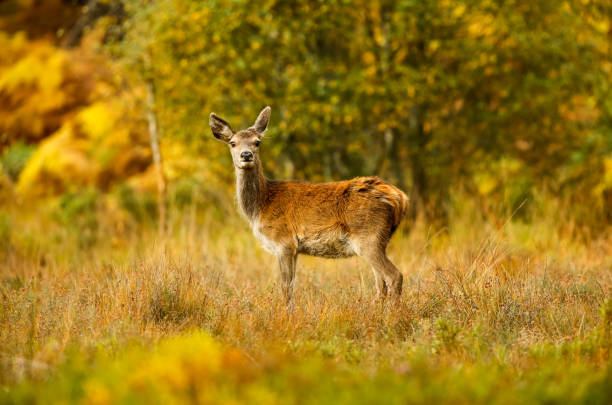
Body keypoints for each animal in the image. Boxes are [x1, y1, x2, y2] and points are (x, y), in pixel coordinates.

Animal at [208, 105, 408, 304]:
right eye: (232, 143)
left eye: (257, 142)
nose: (246, 155)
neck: (261, 206)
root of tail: (401, 198)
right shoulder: (294, 249)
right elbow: (291, 285)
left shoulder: (283, 241)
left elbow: (285, 287)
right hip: (379, 240)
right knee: (381, 283)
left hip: (368, 236)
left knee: (394, 276)